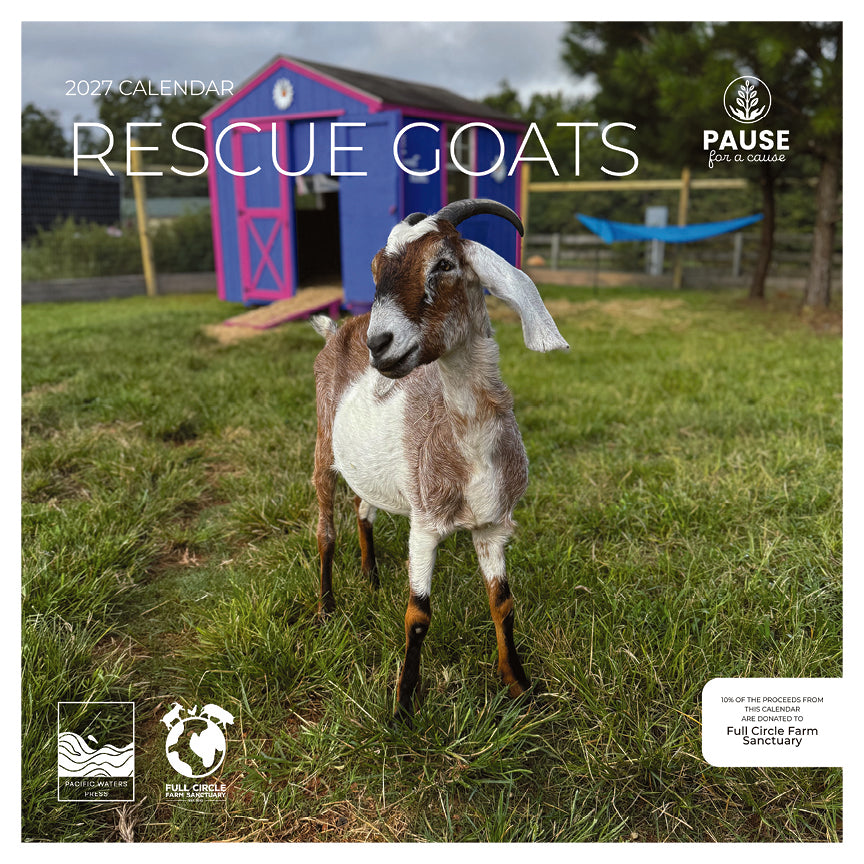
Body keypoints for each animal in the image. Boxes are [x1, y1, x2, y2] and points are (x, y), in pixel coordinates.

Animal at [310, 198, 568, 721]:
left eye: (444, 265)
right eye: (375, 270)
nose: (379, 344)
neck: (468, 450)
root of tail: (340, 329)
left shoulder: (492, 525)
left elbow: (503, 603)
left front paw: (519, 686)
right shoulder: (425, 525)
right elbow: (418, 615)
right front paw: (403, 706)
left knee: (362, 507)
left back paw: (370, 577)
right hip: (324, 447)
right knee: (326, 530)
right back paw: (326, 608)